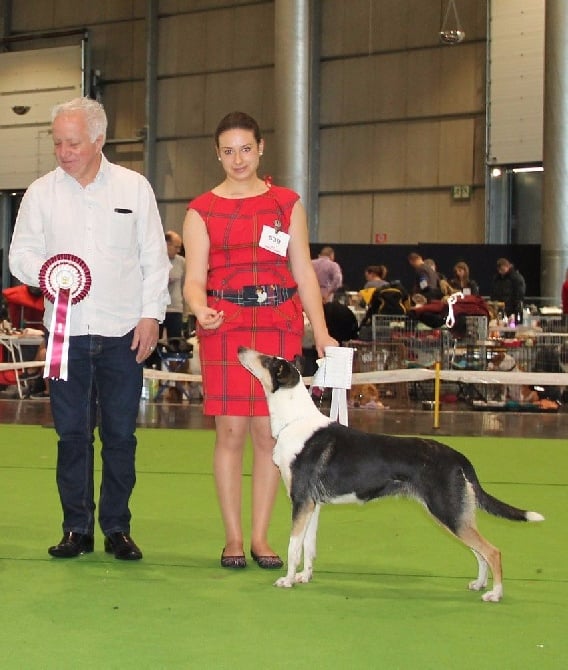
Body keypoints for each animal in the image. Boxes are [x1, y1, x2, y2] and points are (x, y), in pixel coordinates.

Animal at [236, 350, 544, 608]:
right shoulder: (313, 504)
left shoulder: (300, 501)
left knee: (492, 551)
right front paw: (303, 577)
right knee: (478, 550)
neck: (294, 421)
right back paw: (480, 584)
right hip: (457, 513)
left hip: (447, 510)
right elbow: (308, 547)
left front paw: (287, 580)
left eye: (266, 359)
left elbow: (293, 546)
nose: (240, 349)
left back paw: (495, 594)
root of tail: (458, 457)